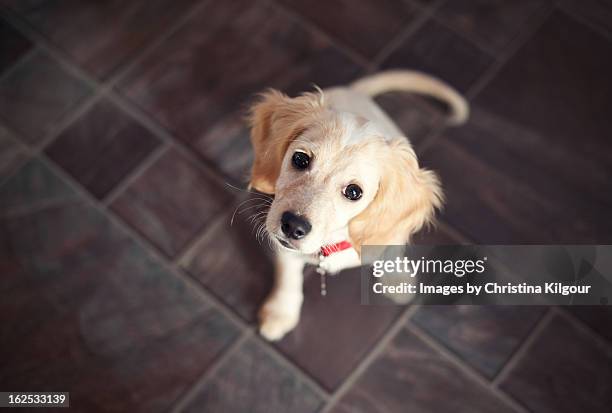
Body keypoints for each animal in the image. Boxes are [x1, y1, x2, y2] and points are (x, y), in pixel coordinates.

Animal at [246, 71, 466, 342]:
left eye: (353, 192)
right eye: (300, 159)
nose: (293, 226)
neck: (332, 243)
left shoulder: (388, 234)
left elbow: (391, 249)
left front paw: (397, 280)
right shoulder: (284, 248)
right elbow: (288, 275)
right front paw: (280, 312)